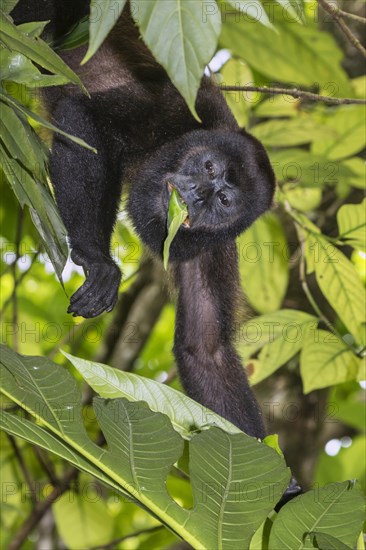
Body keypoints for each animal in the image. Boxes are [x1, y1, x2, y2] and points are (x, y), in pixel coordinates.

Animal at [10, 0, 274, 440]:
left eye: (223, 200)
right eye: (208, 167)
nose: (195, 193)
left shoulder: (211, 249)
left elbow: (206, 350)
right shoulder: (171, 109)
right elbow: (81, 116)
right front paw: (98, 260)